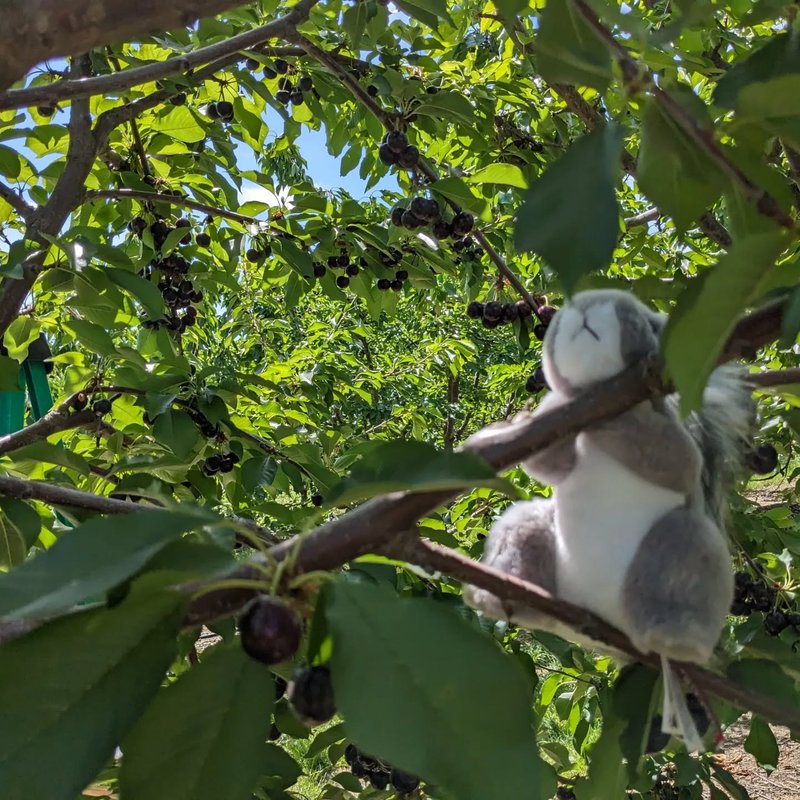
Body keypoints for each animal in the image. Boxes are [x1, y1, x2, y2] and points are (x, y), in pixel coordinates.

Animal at [463, 289, 755, 751]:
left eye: (631, 312)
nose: (582, 304)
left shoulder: (668, 438)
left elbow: (673, 458)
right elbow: (549, 463)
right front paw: (535, 416)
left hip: (679, 549)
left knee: (682, 555)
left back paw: (676, 637)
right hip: (536, 539)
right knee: (526, 531)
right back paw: (500, 594)